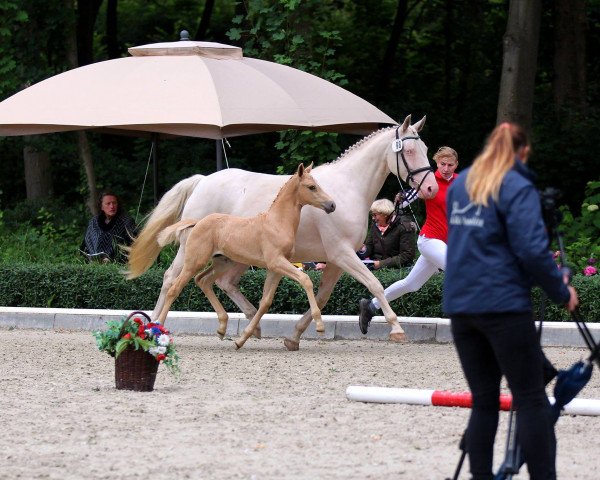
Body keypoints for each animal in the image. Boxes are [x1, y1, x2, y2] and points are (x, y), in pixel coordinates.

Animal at [155, 164, 336, 348]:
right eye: (312, 187)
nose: (332, 205)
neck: (276, 223)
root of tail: (197, 222)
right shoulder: (276, 262)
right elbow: (305, 279)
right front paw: (320, 325)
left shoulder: (275, 268)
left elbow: (265, 301)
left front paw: (242, 339)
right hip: (195, 262)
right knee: (174, 288)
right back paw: (159, 328)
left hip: (222, 263)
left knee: (203, 280)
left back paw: (222, 328)